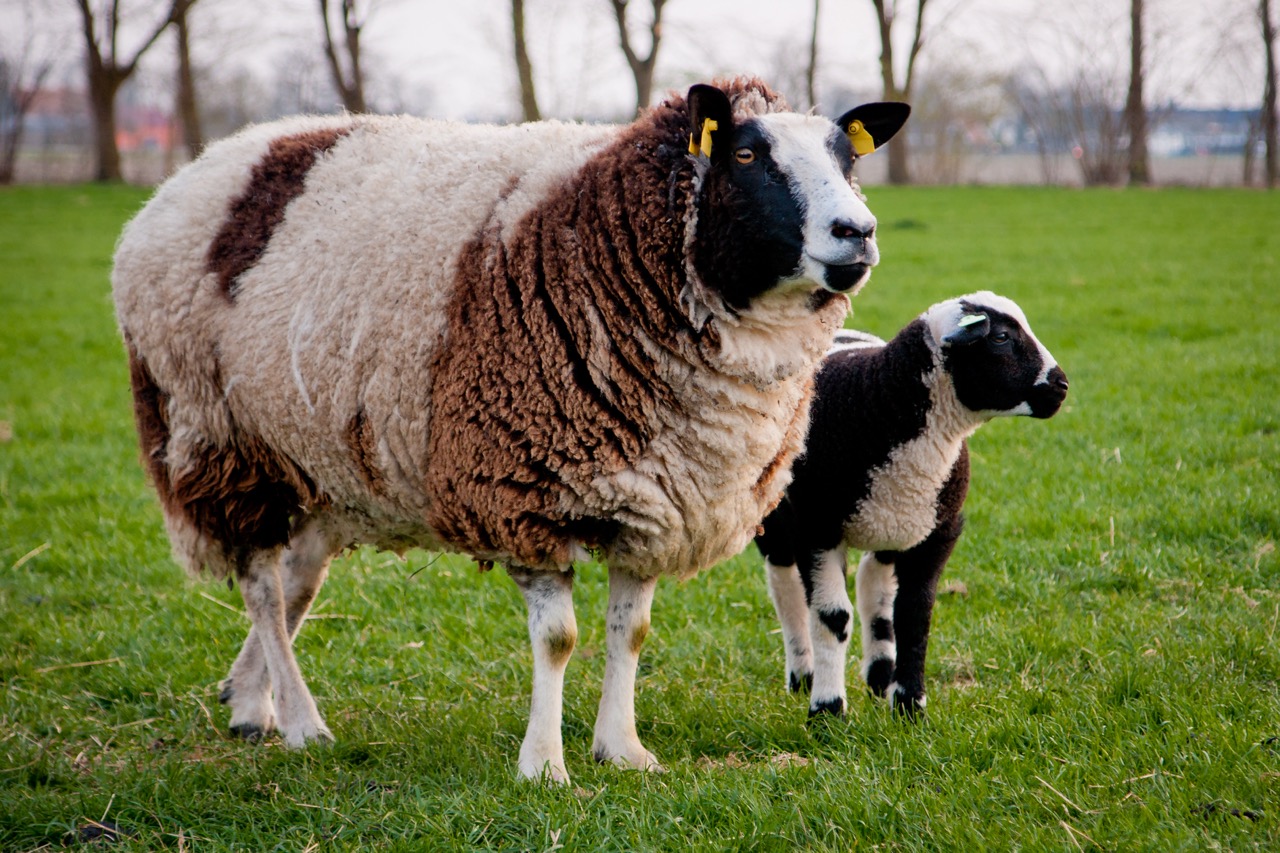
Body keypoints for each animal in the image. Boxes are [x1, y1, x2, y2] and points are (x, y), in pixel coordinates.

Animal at [112, 76, 911, 778]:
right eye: (746, 156)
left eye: (847, 158)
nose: (858, 232)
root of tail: (187, 177)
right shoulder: (523, 489)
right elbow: (559, 639)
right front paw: (545, 766)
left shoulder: (656, 497)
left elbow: (631, 632)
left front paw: (623, 750)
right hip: (216, 438)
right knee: (263, 588)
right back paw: (303, 722)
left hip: (318, 456)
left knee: (297, 581)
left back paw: (251, 704)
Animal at [752, 290, 1064, 717]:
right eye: (1001, 337)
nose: (1061, 386)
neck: (877, 396)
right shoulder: (818, 529)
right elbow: (832, 618)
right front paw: (828, 710)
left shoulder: (938, 531)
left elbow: (914, 614)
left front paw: (910, 706)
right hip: (776, 520)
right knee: (787, 590)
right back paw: (803, 676)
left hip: (896, 521)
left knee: (874, 589)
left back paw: (879, 678)